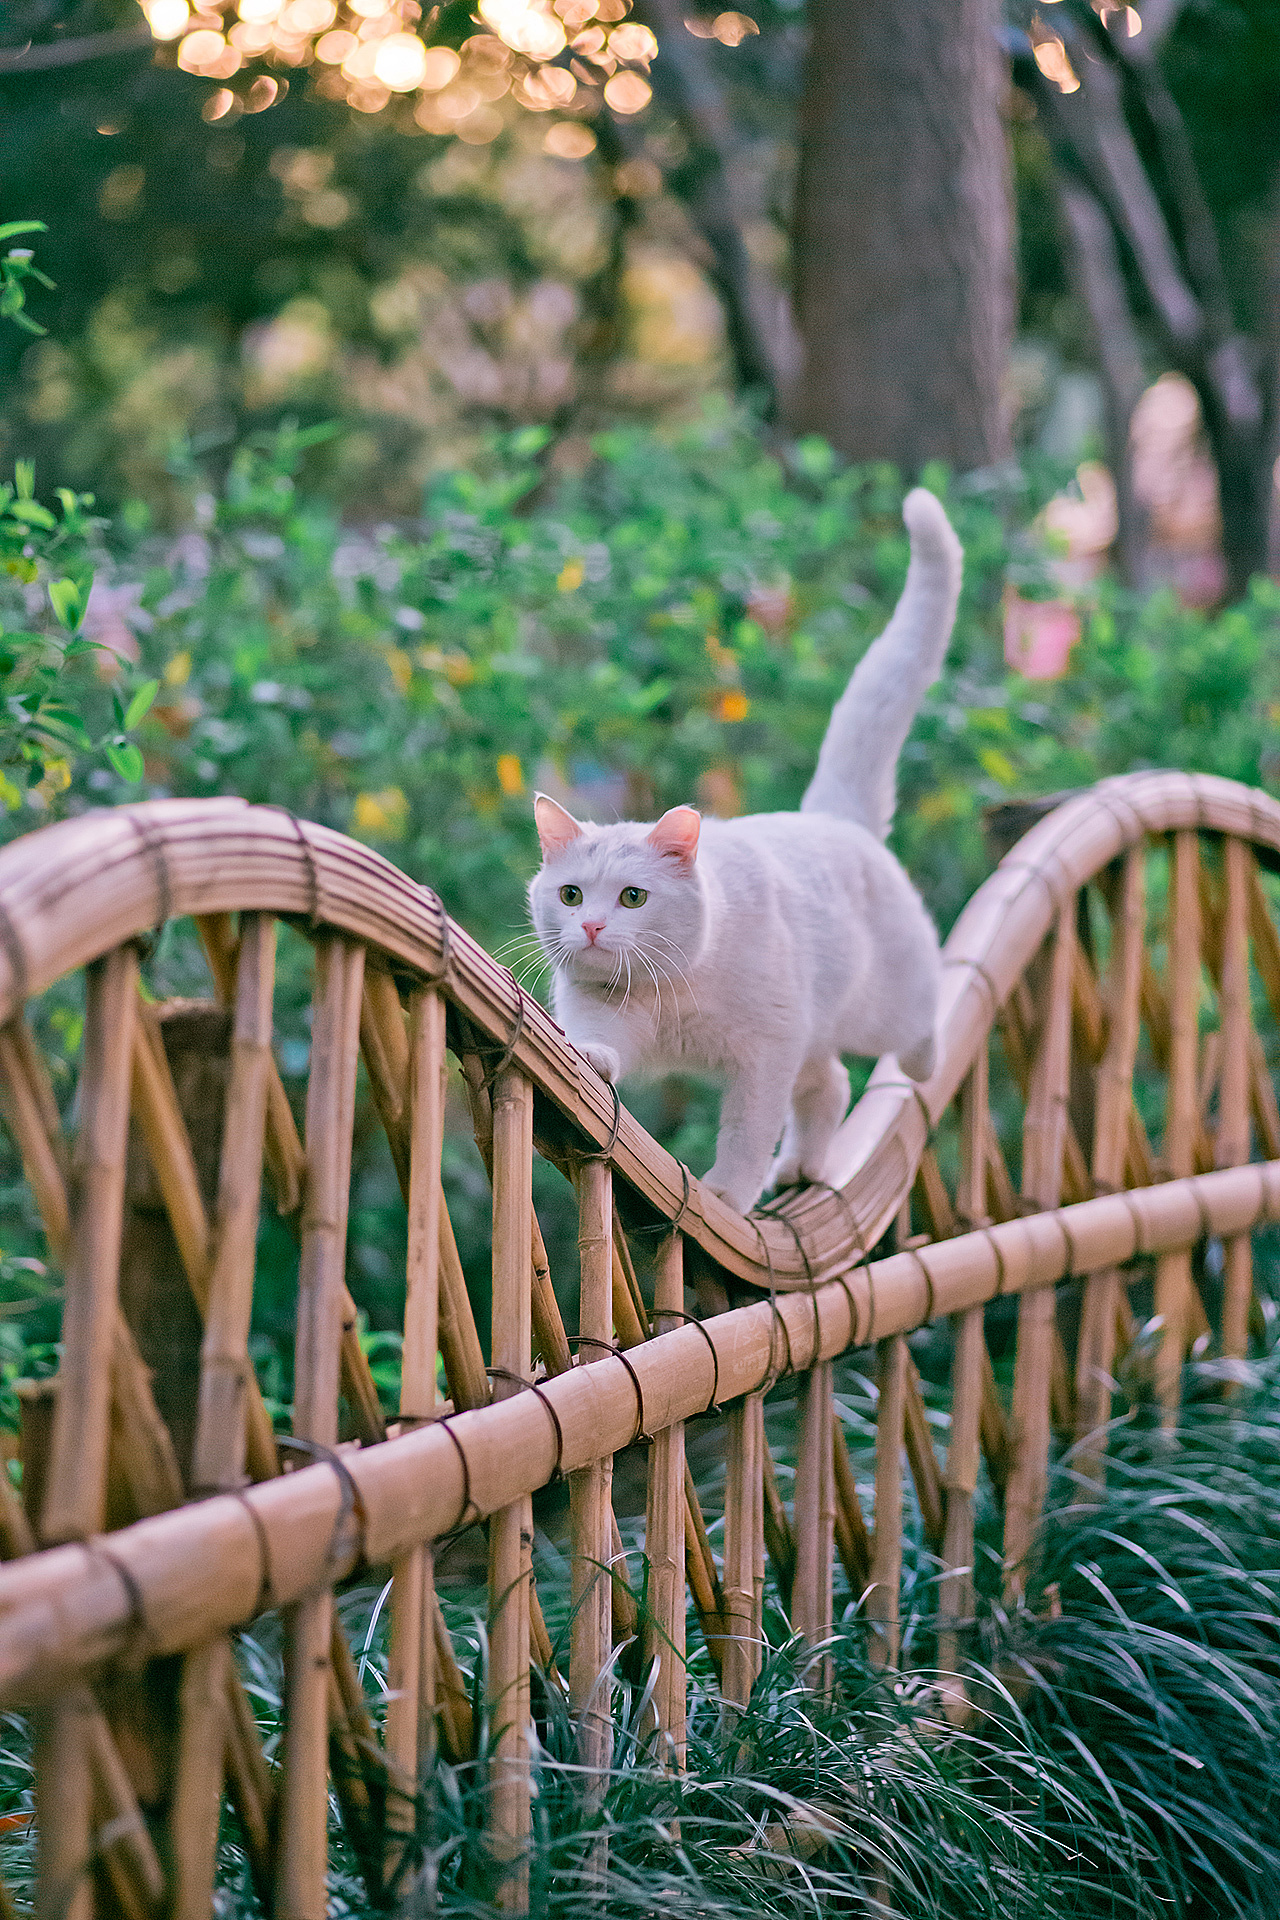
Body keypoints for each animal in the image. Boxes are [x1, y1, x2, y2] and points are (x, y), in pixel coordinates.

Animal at [521, 487, 959, 1205]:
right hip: (818, 1038)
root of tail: (834, 818)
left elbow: (749, 1130)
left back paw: (919, 1065)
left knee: (920, 1022)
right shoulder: (602, 1007)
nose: (589, 926)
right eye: (571, 894)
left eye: (633, 897)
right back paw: (802, 1168)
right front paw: (590, 1059)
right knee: (831, 1083)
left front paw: (727, 1192)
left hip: (882, 1010)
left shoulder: (765, 1051)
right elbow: (599, 1045)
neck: (671, 990)